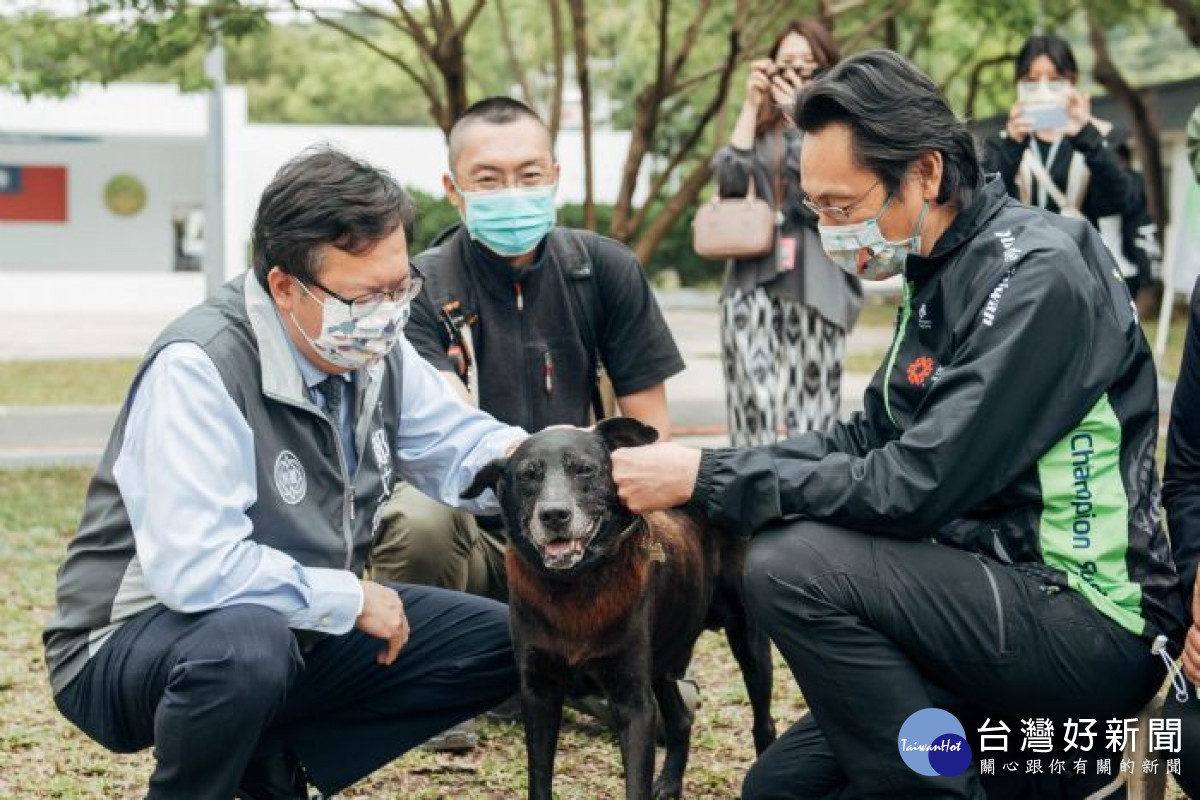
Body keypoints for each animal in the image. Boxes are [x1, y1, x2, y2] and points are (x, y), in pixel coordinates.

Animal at [458, 419, 777, 800]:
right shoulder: (539, 693)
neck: (574, 588)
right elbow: (539, 779)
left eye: (584, 469)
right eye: (527, 475)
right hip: (663, 664)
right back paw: (670, 783)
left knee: (763, 721)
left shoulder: (634, 702)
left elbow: (635, 784)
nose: (554, 515)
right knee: (681, 718)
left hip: (748, 645)